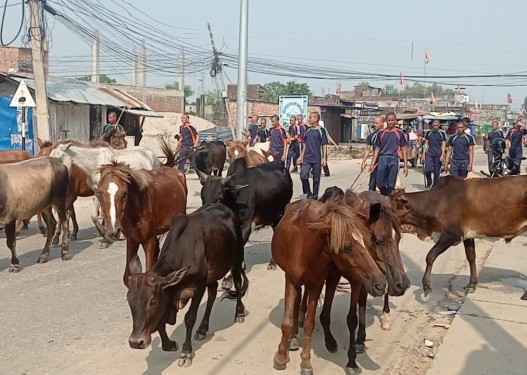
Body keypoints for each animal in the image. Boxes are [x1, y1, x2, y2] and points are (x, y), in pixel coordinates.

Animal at [127, 204, 249, 368]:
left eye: (152, 302)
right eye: (129, 301)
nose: (136, 342)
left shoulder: (198, 287)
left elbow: (189, 318)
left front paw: (186, 353)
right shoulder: (169, 295)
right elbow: (160, 323)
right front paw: (170, 344)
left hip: (237, 258)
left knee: (237, 283)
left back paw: (239, 313)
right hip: (211, 275)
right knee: (212, 293)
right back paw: (202, 329)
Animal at [270, 200, 386, 375]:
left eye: (367, 242)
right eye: (346, 247)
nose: (381, 283)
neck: (306, 249)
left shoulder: (317, 284)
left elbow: (310, 324)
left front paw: (306, 362)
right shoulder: (291, 281)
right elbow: (287, 323)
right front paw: (281, 356)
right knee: (297, 302)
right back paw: (294, 338)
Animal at [390, 175, 527, 298]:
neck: (435, 201)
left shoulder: (452, 235)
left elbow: (430, 256)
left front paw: (426, 286)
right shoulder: (468, 235)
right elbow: (471, 257)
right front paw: (471, 285)